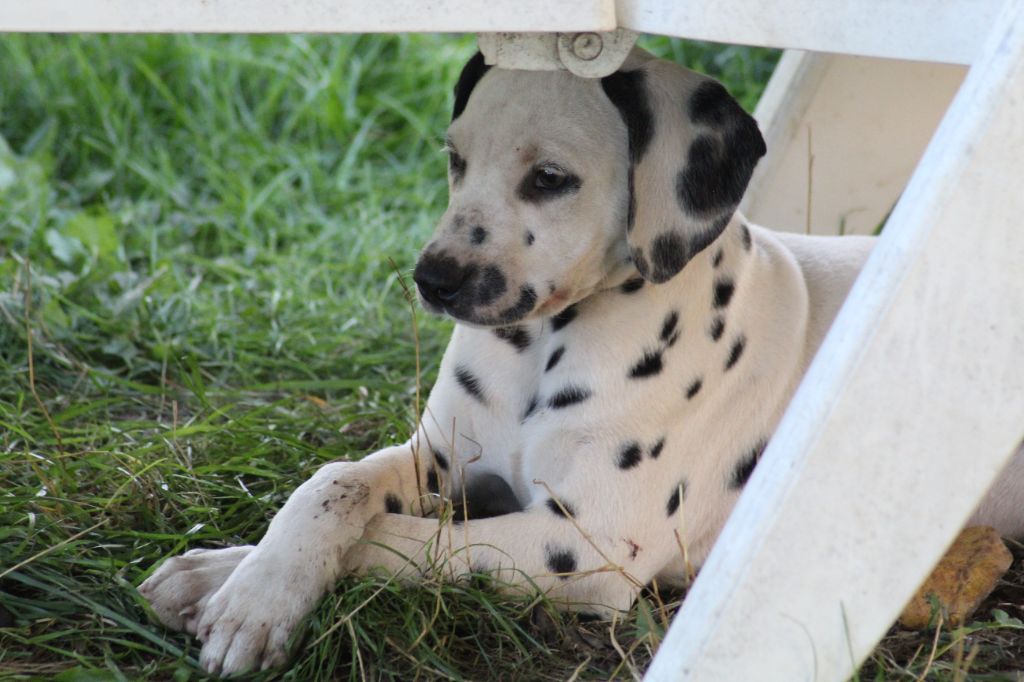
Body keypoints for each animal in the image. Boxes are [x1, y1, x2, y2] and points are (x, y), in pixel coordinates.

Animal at [138, 48, 1024, 676]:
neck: (544, 344)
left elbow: (399, 541)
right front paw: (243, 579)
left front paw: (236, 596)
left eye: (550, 178)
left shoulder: (582, 546)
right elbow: (332, 486)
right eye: (454, 158)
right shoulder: (442, 457)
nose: (434, 278)